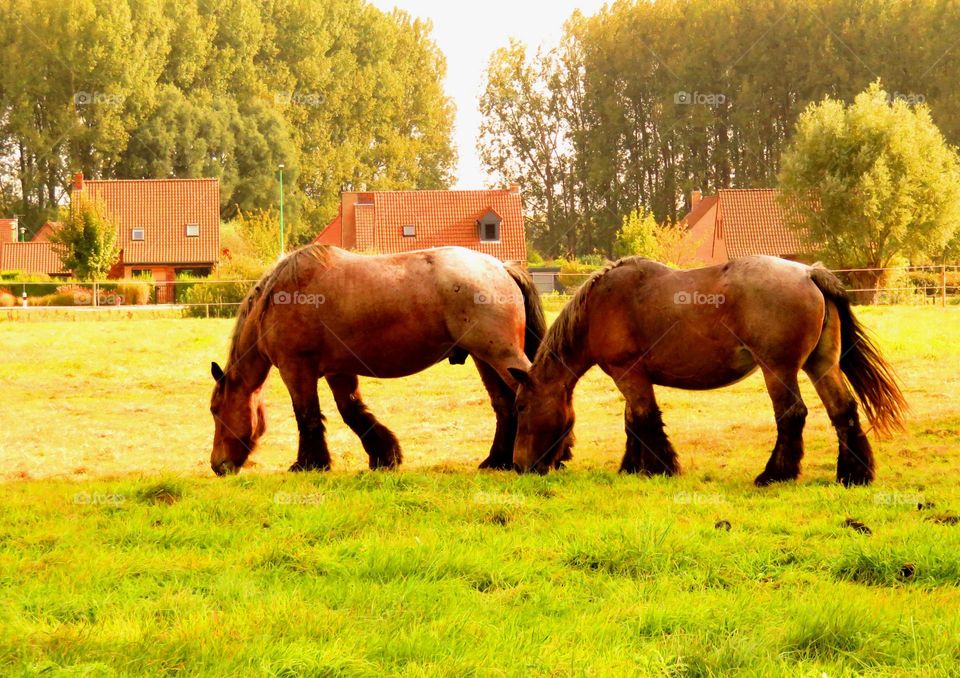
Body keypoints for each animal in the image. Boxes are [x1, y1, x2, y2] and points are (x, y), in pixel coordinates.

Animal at [208, 243, 546, 476]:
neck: (279, 297)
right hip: (484, 359)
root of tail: (501, 267)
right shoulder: (338, 371)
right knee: (504, 405)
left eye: (215, 410)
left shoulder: (297, 369)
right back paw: (496, 461)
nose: (217, 465)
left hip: (501, 354)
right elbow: (352, 412)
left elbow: (307, 416)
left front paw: (308, 463)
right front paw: (385, 456)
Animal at [508, 255, 906, 486]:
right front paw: (634, 467)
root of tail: (809, 273)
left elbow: (644, 419)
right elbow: (633, 422)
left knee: (792, 414)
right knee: (843, 410)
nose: (519, 465)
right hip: (820, 364)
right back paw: (854, 475)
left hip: (778, 369)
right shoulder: (631, 378)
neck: (599, 308)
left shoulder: (628, 374)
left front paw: (662, 467)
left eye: (522, 407)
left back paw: (775, 475)